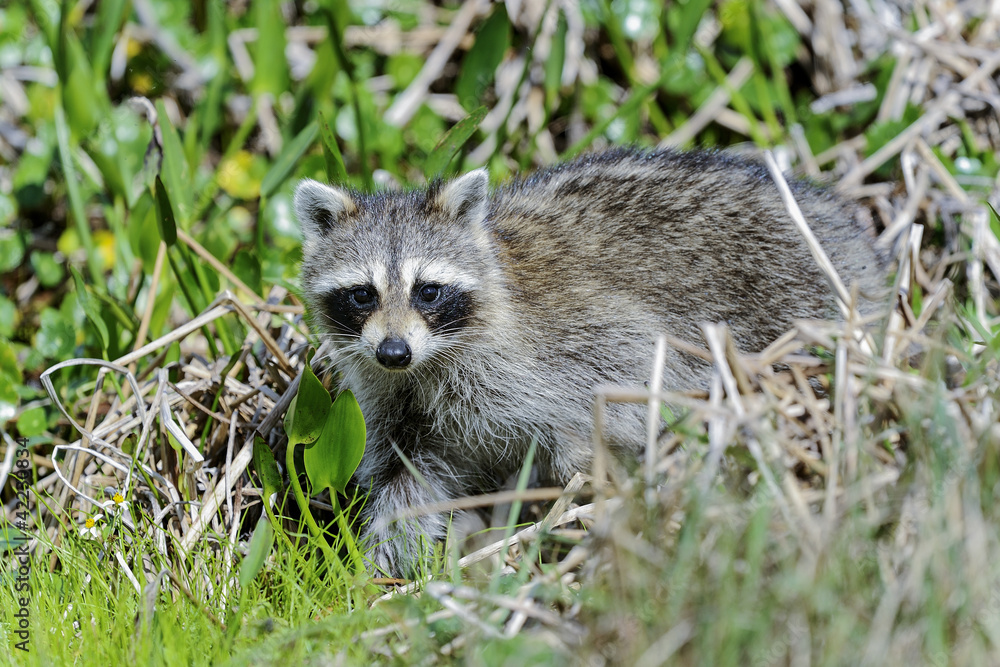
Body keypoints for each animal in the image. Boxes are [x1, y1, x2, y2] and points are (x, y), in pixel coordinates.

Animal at [294, 148, 887, 577]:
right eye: (363, 294)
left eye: (428, 291)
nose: (393, 351)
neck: (429, 362)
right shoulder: (395, 401)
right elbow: (406, 481)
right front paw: (380, 569)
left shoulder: (569, 339)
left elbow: (628, 379)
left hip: (795, 297)